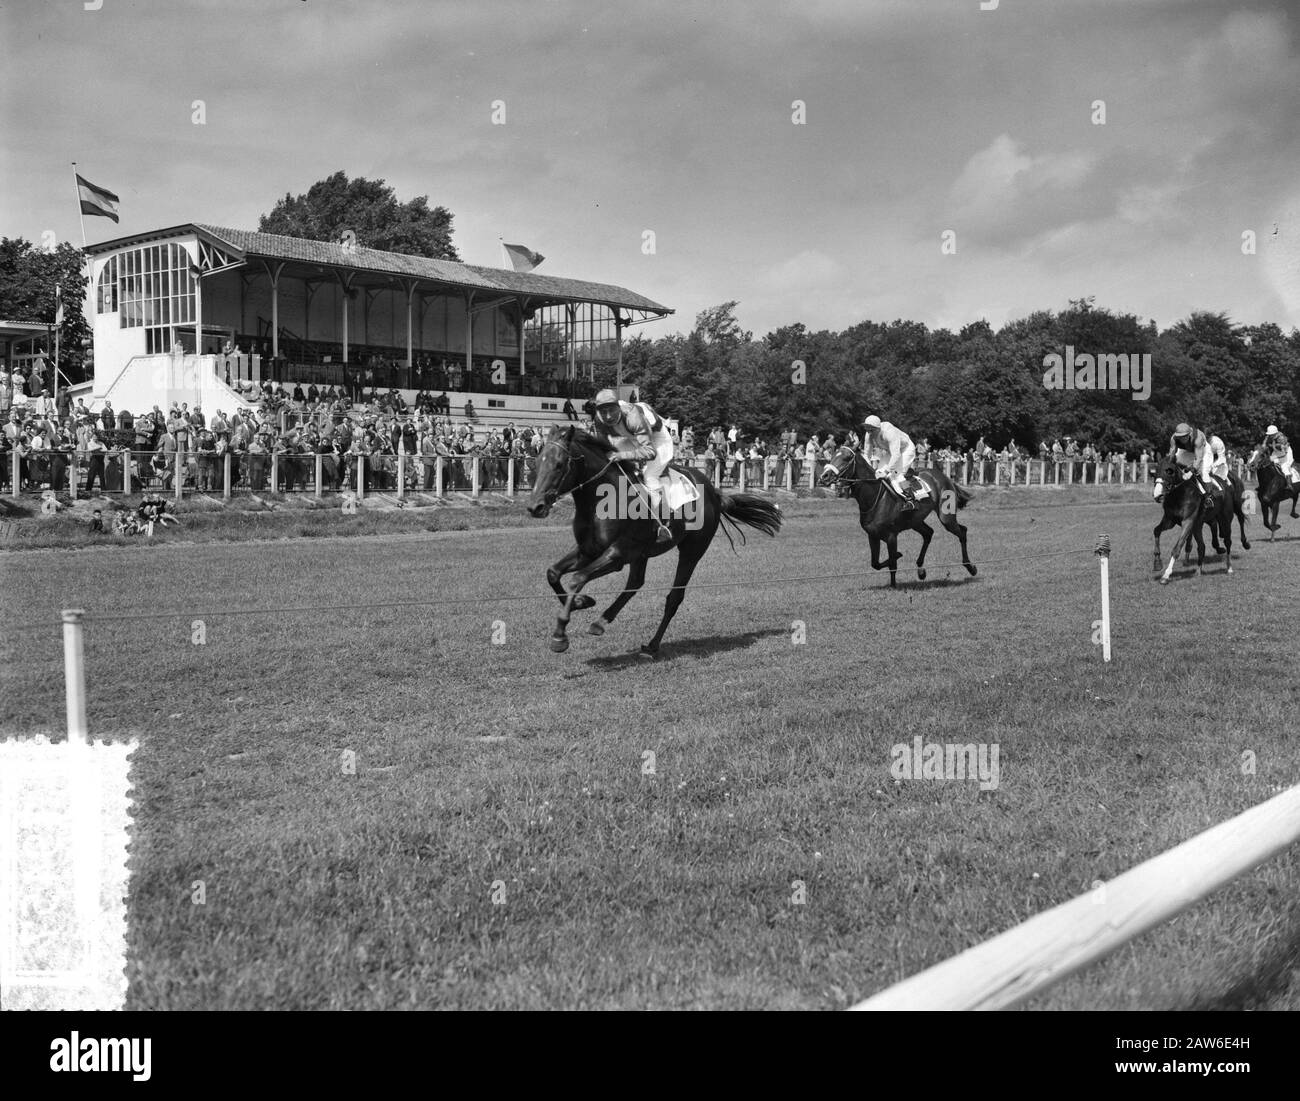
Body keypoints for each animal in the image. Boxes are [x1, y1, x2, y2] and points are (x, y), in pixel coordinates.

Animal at [527, 426, 780, 657]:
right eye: (538, 462)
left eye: (559, 464)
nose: (535, 507)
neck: (601, 499)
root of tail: (714, 493)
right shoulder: (588, 550)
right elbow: (553, 573)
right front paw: (582, 602)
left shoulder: (617, 554)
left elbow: (576, 579)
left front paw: (560, 635)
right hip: (643, 553)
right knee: (635, 583)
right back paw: (601, 622)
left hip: (692, 550)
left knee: (673, 597)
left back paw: (652, 644)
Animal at [811, 444, 977, 590]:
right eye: (832, 456)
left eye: (846, 458)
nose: (824, 476)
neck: (875, 497)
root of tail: (944, 476)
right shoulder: (873, 535)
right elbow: (875, 563)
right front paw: (898, 557)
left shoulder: (891, 536)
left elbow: (892, 564)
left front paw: (893, 584)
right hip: (915, 521)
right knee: (928, 533)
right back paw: (921, 570)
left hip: (946, 517)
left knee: (962, 531)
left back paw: (970, 567)